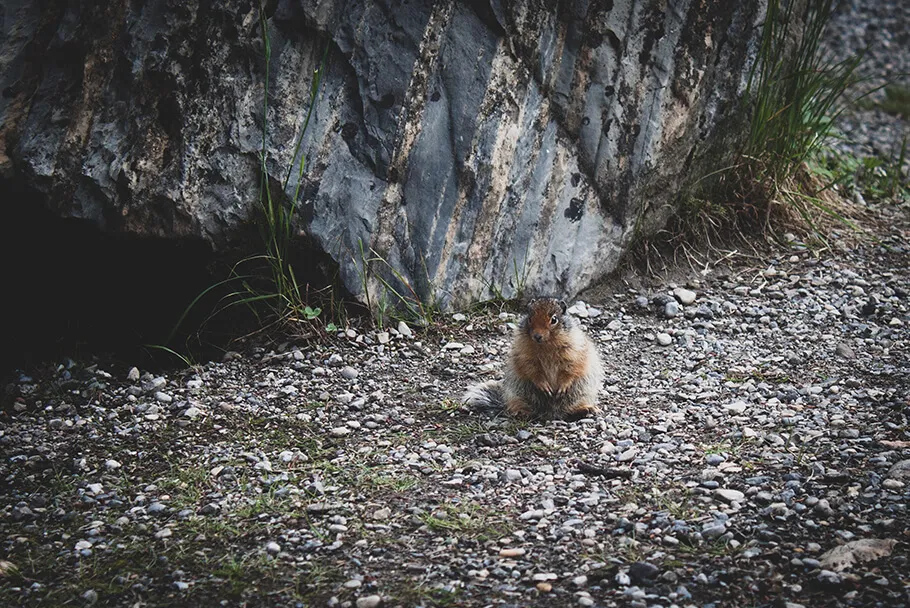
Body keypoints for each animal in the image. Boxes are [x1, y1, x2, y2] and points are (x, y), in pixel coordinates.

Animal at [464, 296, 604, 420]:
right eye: (530, 318)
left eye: (554, 319)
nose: (537, 336)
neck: (546, 345)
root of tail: (550, 414)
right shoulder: (524, 354)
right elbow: (532, 370)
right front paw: (545, 387)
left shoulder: (574, 351)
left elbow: (571, 369)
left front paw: (562, 387)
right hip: (516, 394)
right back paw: (521, 413)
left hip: (582, 394)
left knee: (569, 410)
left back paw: (587, 410)